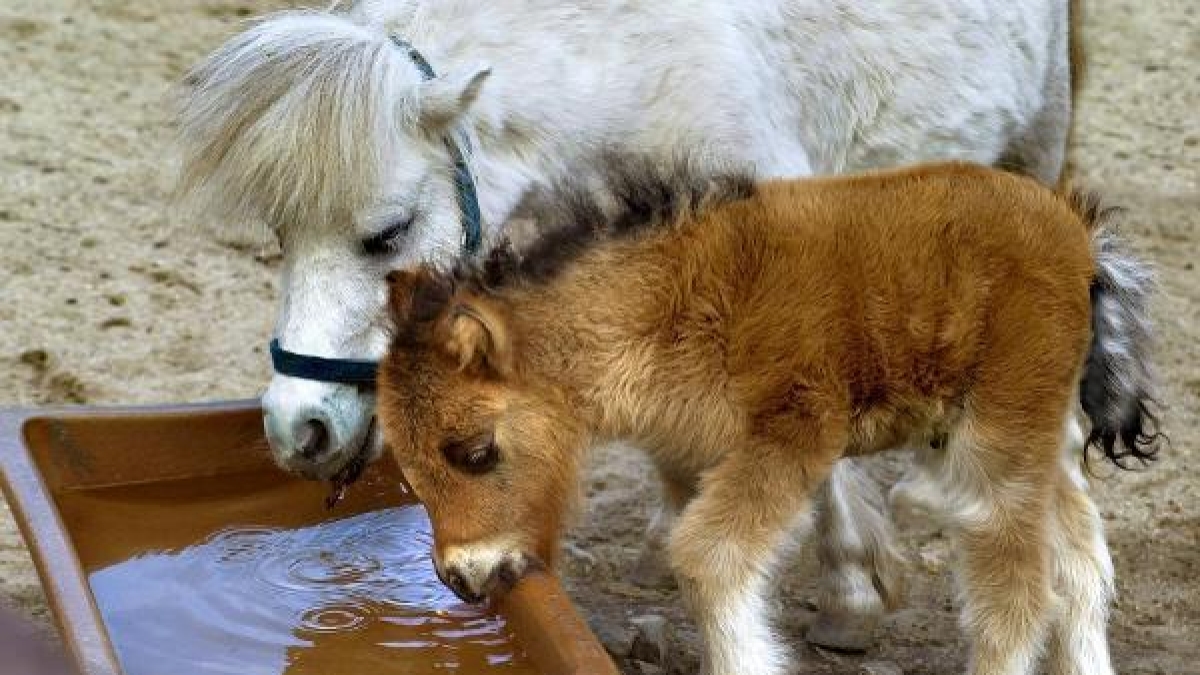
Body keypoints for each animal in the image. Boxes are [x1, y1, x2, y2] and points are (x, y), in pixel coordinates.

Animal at [375, 157, 1161, 675]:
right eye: (407, 468)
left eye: (475, 450)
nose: (464, 578)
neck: (673, 301)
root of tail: (1080, 235)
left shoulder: (794, 434)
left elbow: (707, 555)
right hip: (1018, 440)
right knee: (1080, 563)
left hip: (1000, 443)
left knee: (1020, 591)